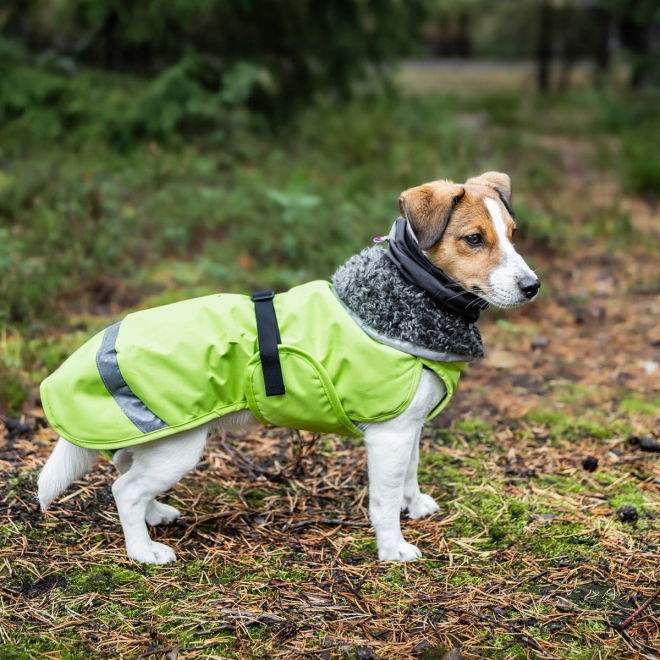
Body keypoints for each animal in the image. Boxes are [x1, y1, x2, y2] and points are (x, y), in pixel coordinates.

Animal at [37, 170, 540, 564]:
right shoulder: (389, 436)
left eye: (513, 233)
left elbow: (409, 477)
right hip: (176, 448)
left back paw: (155, 515)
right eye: (474, 239)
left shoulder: (409, 428)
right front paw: (392, 548)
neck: (410, 290)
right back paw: (143, 551)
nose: (532, 286)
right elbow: (383, 498)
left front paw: (414, 507)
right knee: (124, 490)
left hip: (155, 444)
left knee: (125, 469)